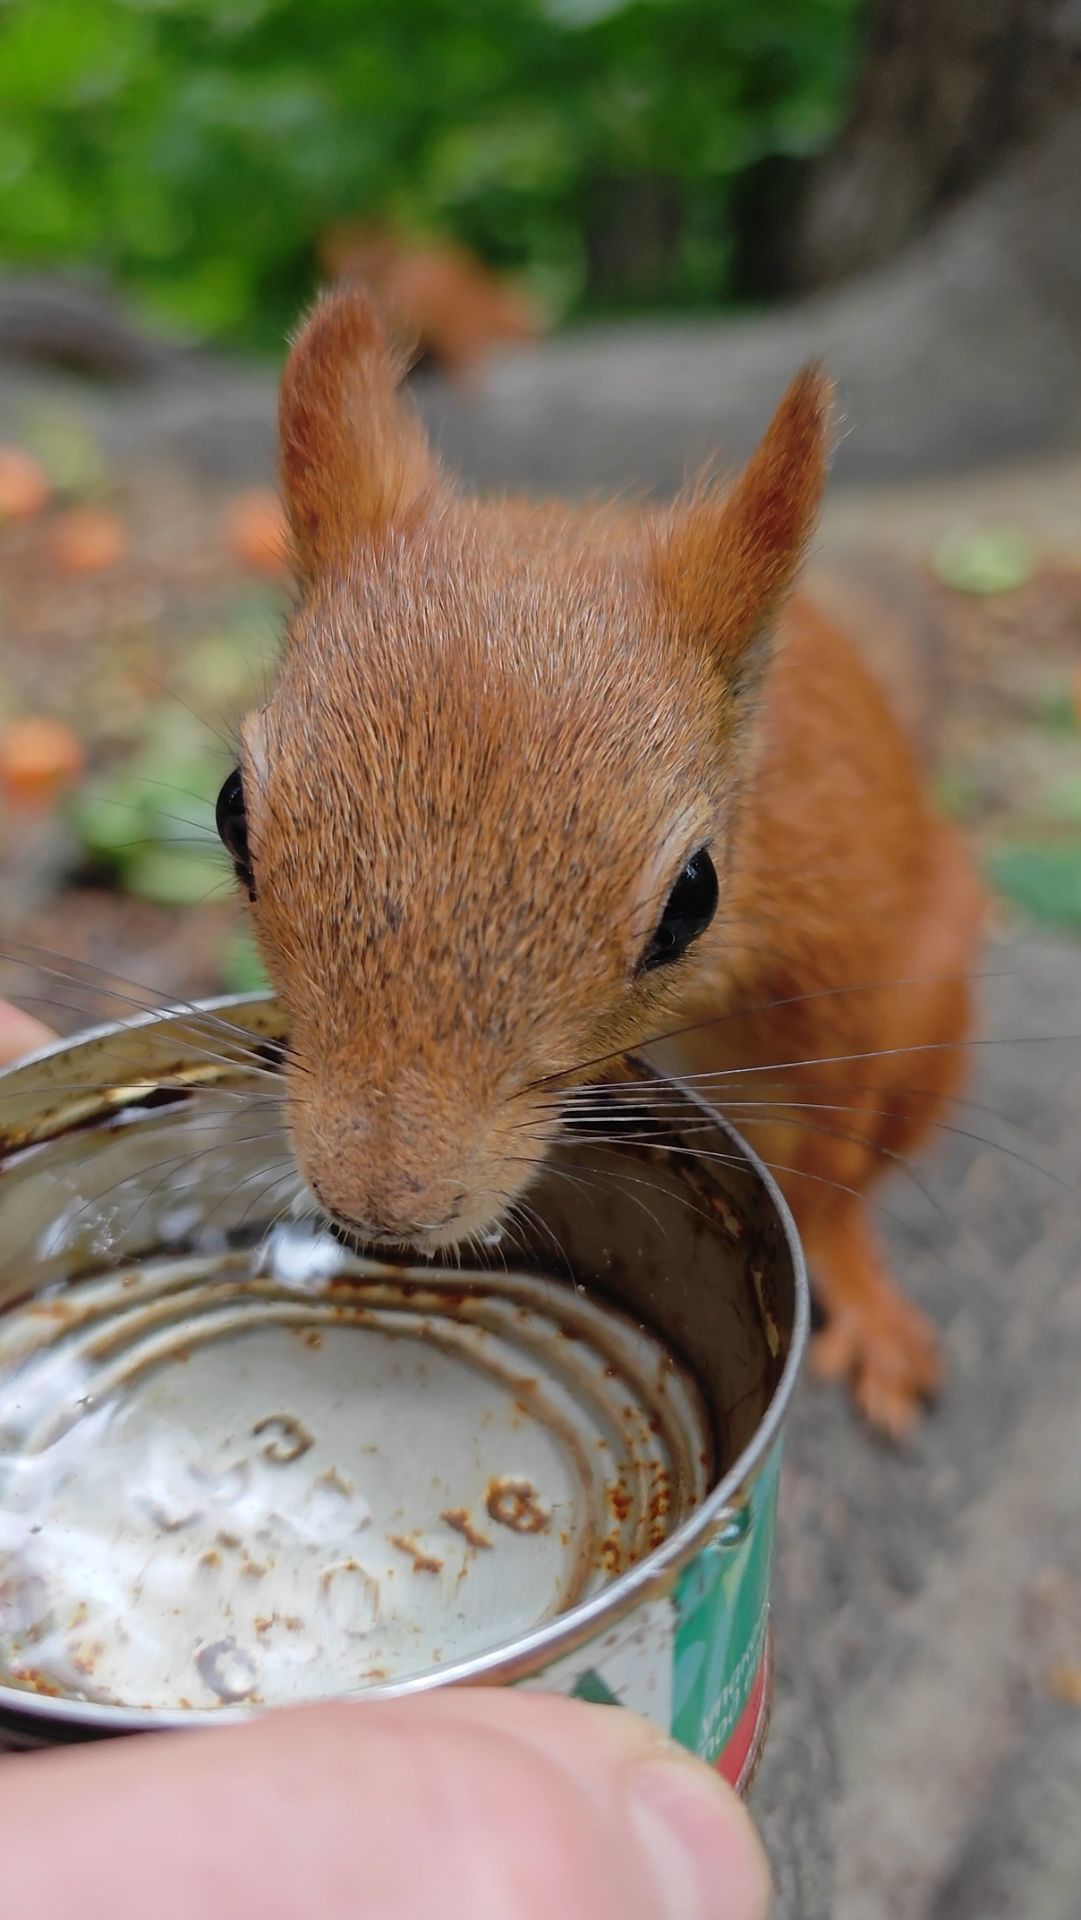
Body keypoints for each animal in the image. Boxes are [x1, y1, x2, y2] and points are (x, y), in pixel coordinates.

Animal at [219, 286, 985, 1440]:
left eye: (693, 897)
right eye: (232, 813)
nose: (381, 1205)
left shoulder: (845, 966)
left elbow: (827, 1170)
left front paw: (849, 1282)